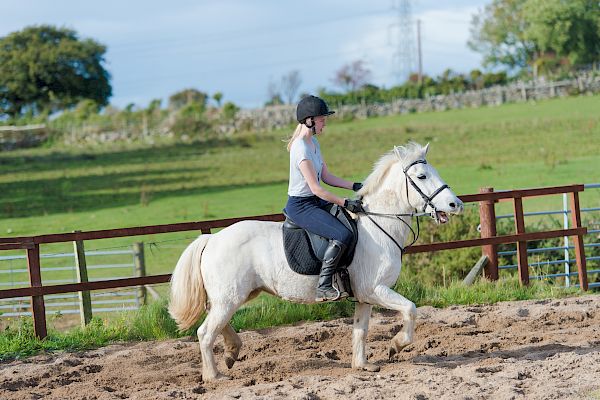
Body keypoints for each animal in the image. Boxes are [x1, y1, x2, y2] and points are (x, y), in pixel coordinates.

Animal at [169, 142, 464, 380]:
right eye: (422, 176)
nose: (455, 205)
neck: (379, 224)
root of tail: (212, 239)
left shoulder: (365, 295)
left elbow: (361, 329)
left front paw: (362, 366)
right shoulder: (375, 289)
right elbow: (410, 309)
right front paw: (396, 345)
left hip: (233, 296)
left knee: (217, 324)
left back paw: (232, 352)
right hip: (230, 297)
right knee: (205, 333)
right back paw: (214, 376)